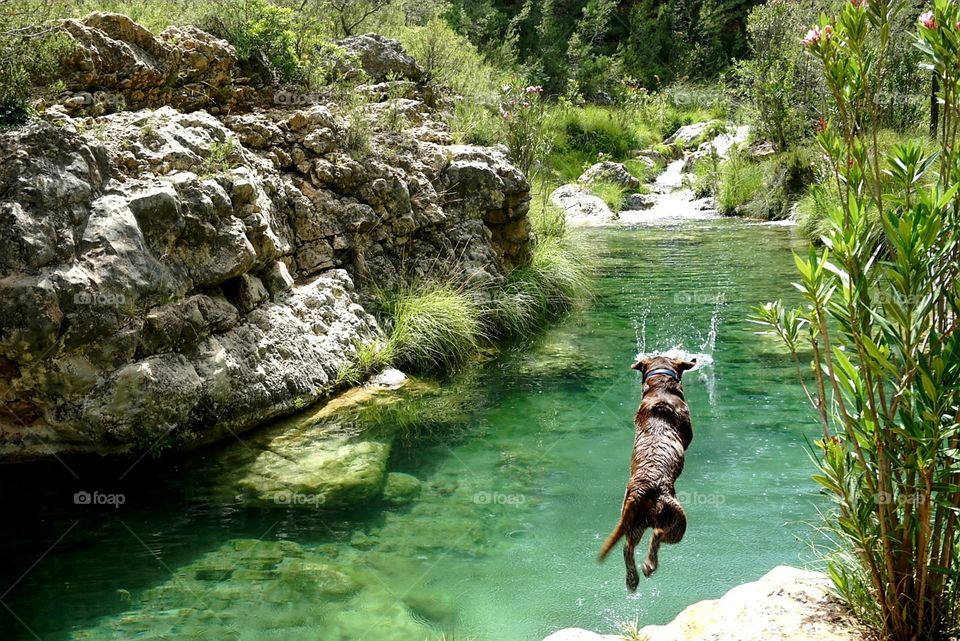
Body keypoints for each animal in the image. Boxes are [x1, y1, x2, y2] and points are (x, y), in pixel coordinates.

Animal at [596, 356, 692, 592]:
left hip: (633, 524)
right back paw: (649, 565)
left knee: (628, 547)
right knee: (658, 535)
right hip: (677, 521)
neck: (661, 388)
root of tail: (644, 488)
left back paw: (633, 579)